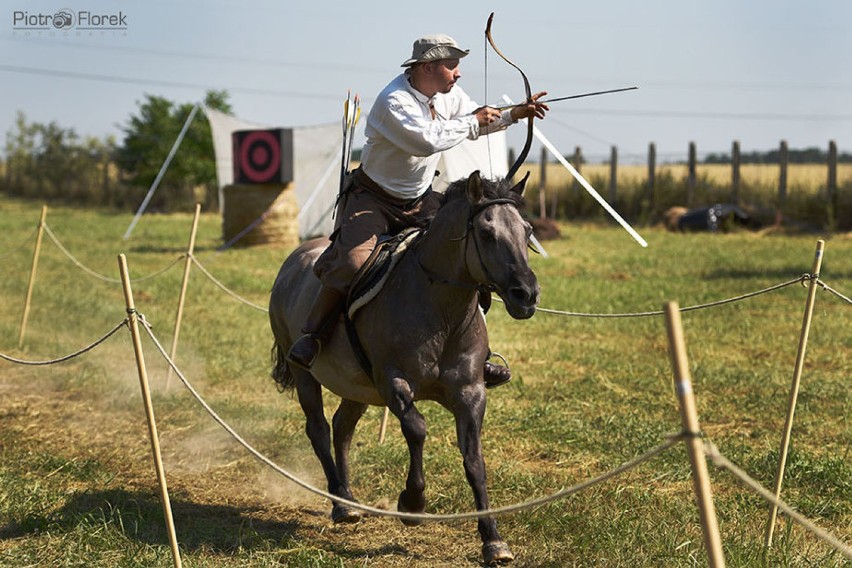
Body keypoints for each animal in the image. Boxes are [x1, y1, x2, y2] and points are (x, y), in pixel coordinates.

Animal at [270, 170, 540, 564]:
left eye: (527, 230)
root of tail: (293, 259)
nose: (527, 294)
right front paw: (412, 504)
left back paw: (348, 495)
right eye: (487, 232)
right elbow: (417, 428)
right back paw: (340, 503)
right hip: (307, 375)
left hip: (356, 387)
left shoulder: (470, 394)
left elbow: (474, 459)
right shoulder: (392, 382)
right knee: (318, 428)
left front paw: (492, 539)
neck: (440, 312)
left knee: (342, 428)